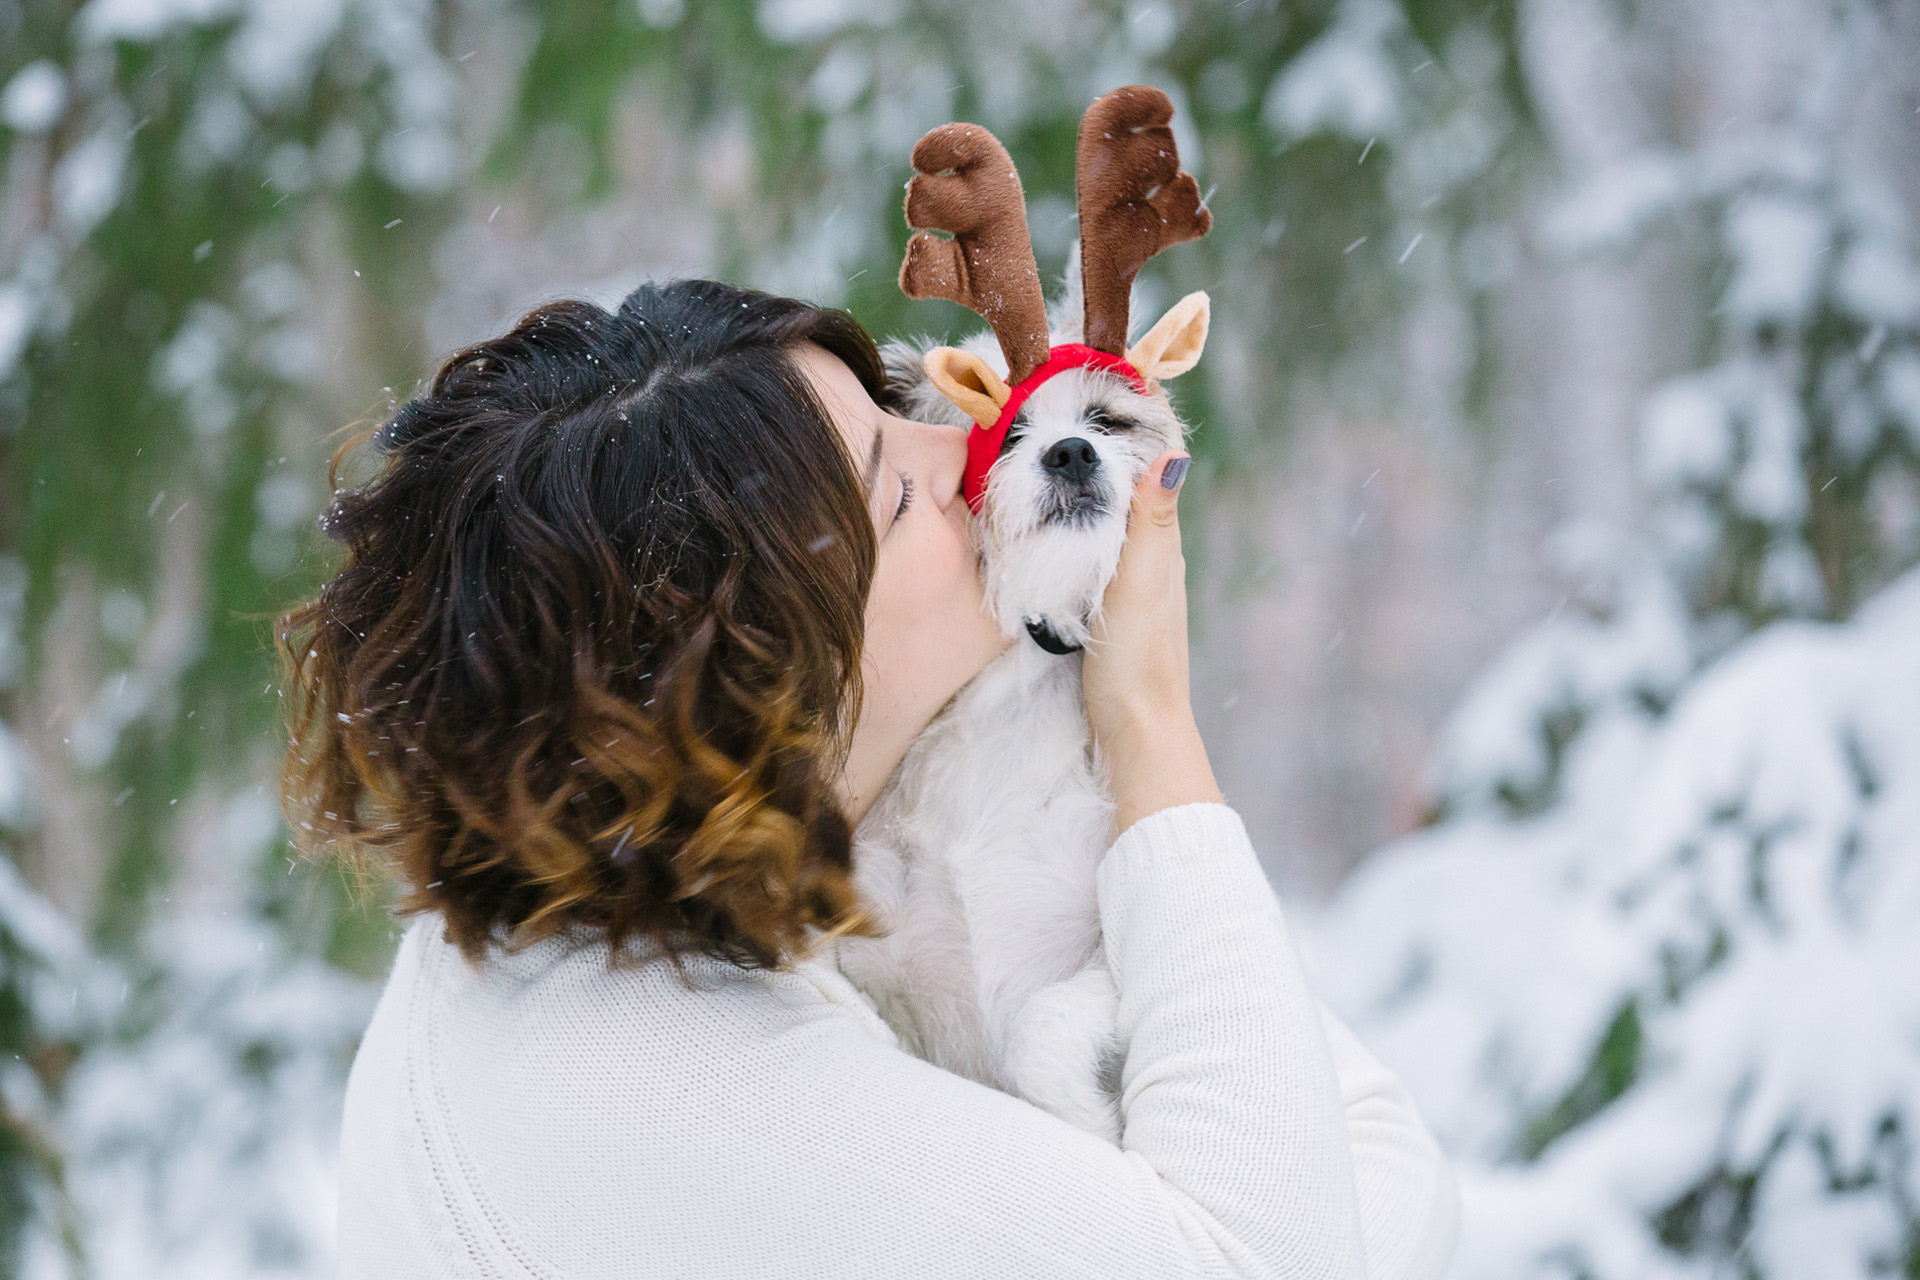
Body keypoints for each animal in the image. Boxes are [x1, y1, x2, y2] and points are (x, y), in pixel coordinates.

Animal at [833, 92, 1205, 1151]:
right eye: (999, 436)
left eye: (1111, 421)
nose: (1071, 454)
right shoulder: (879, 973)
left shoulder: (1106, 958)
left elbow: (1041, 1026)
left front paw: (1087, 1120)